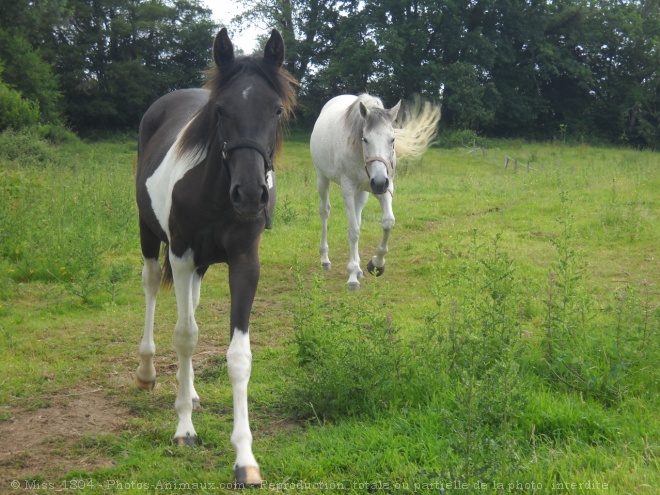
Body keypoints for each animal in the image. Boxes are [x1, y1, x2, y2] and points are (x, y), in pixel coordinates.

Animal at [134, 28, 296, 488]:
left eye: (276, 110)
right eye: (221, 110)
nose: (251, 194)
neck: (214, 193)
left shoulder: (244, 263)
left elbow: (238, 356)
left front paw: (245, 458)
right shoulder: (182, 253)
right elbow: (185, 337)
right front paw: (184, 430)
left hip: (201, 265)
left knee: (192, 303)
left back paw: (188, 391)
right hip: (151, 237)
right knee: (152, 288)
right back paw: (148, 372)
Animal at [310, 94, 438, 290]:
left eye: (392, 140)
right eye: (365, 139)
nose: (378, 182)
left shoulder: (384, 188)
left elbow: (388, 222)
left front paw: (375, 264)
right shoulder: (348, 189)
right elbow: (353, 231)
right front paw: (352, 276)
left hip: (363, 192)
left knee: (358, 216)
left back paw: (359, 268)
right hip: (322, 178)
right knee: (325, 212)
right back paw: (325, 259)